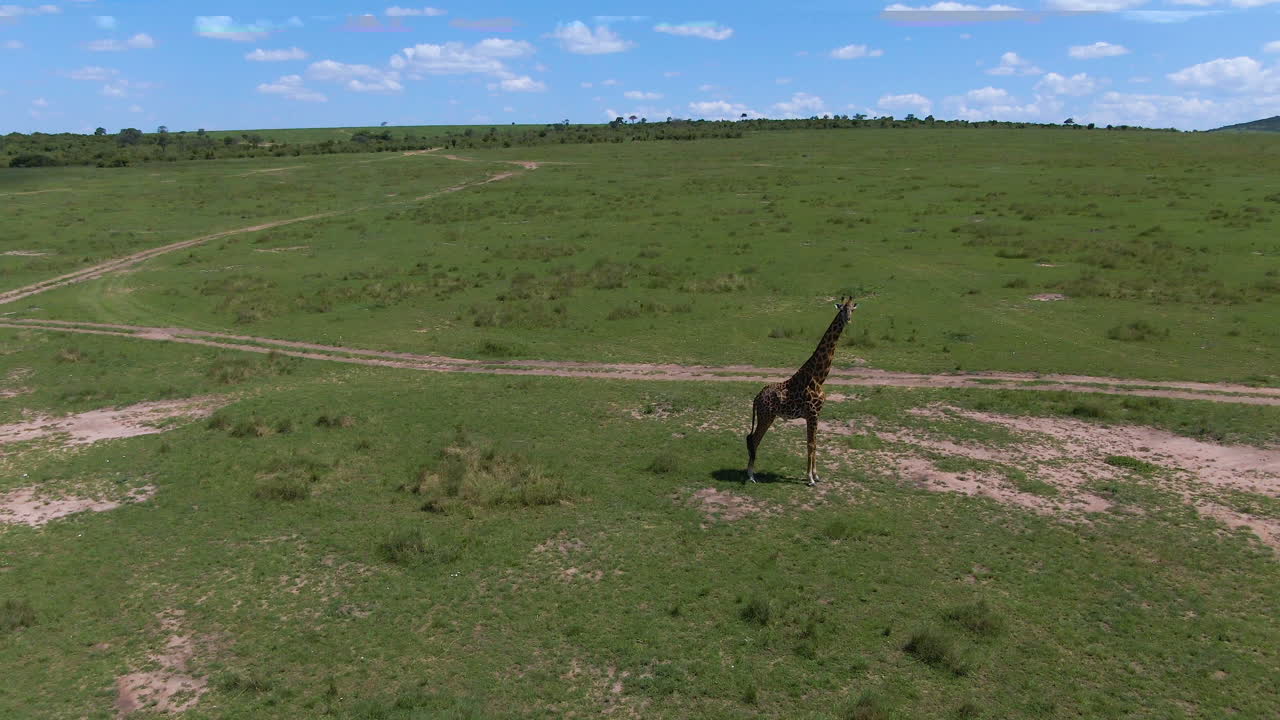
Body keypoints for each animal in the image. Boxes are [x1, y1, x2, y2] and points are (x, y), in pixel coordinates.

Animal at [746, 297, 858, 486]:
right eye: (842, 309)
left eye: (852, 309)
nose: (848, 320)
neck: (818, 377)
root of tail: (756, 397)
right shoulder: (812, 413)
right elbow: (810, 444)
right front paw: (810, 478)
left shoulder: (816, 414)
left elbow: (814, 443)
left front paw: (816, 475)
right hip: (765, 416)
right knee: (754, 439)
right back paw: (751, 476)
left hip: (768, 416)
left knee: (753, 439)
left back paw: (751, 474)